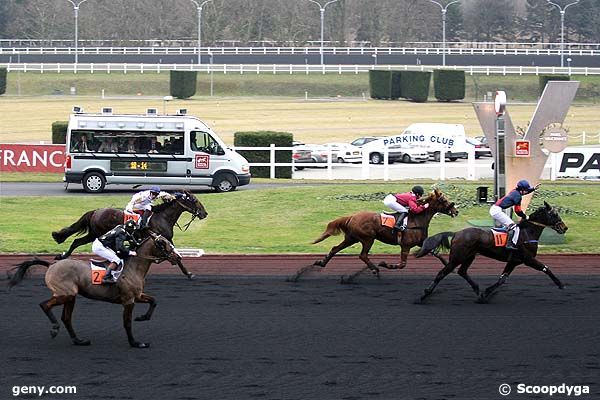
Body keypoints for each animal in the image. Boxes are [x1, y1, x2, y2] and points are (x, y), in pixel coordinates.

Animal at [8, 230, 180, 348]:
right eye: (162, 243)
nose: (178, 257)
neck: (133, 267)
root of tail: (51, 265)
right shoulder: (129, 300)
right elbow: (127, 323)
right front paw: (136, 343)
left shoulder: (137, 296)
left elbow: (154, 301)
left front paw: (143, 317)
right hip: (66, 293)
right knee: (45, 305)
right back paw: (55, 329)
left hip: (71, 296)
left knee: (66, 318)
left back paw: (79, 340)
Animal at [52, 188, 206, 276]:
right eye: (194, 200)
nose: (205, 213)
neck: (162, 217)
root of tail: (96, 211)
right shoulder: (159, 238)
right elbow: (174, 255)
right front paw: (188, 273)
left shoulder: (162, 239)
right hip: (96, 233)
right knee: (78, 241)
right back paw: (63, 257)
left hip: (93, 234)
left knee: (76, 241)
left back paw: (62, 256)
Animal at [288, 189, 458, 282]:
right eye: (444, 200)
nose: (455, 211)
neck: (418, 218)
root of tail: (352, 216)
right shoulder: (406, 245)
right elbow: (402, 264)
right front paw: (384, 264)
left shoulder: (420, 242)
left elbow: (437, 254)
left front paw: (450, 267)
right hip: (367, 238)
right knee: (362, 255)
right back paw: (375, 269)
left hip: (351, 238)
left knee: (335, 248)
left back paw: (321, 263)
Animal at [414, 202, 568, 302]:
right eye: (554, 214)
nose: (564, 228)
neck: (527, 233)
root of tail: (457, 233)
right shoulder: (528, 259)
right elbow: (545, 268)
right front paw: (560, 284)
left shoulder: (514, 261)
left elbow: (502, 279)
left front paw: (486, 293)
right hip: (457, 258)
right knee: (442, 273)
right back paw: (424, 295)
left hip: (469, 256)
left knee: (462, 271)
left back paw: (477, 290)